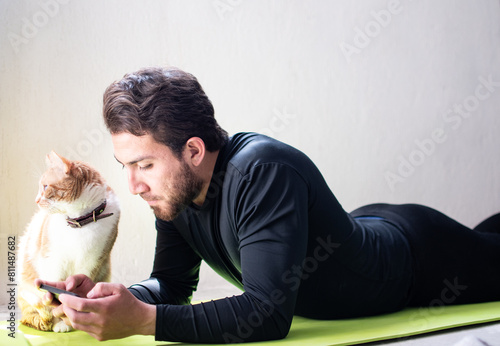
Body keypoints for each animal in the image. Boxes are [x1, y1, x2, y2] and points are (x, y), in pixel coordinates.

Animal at [17, 151, 120, 332]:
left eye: (45, 187)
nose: (36, 200)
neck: (79, 223)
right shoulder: (52, 262)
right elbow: (53, 298)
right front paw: (61, 322)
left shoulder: (92, 262)